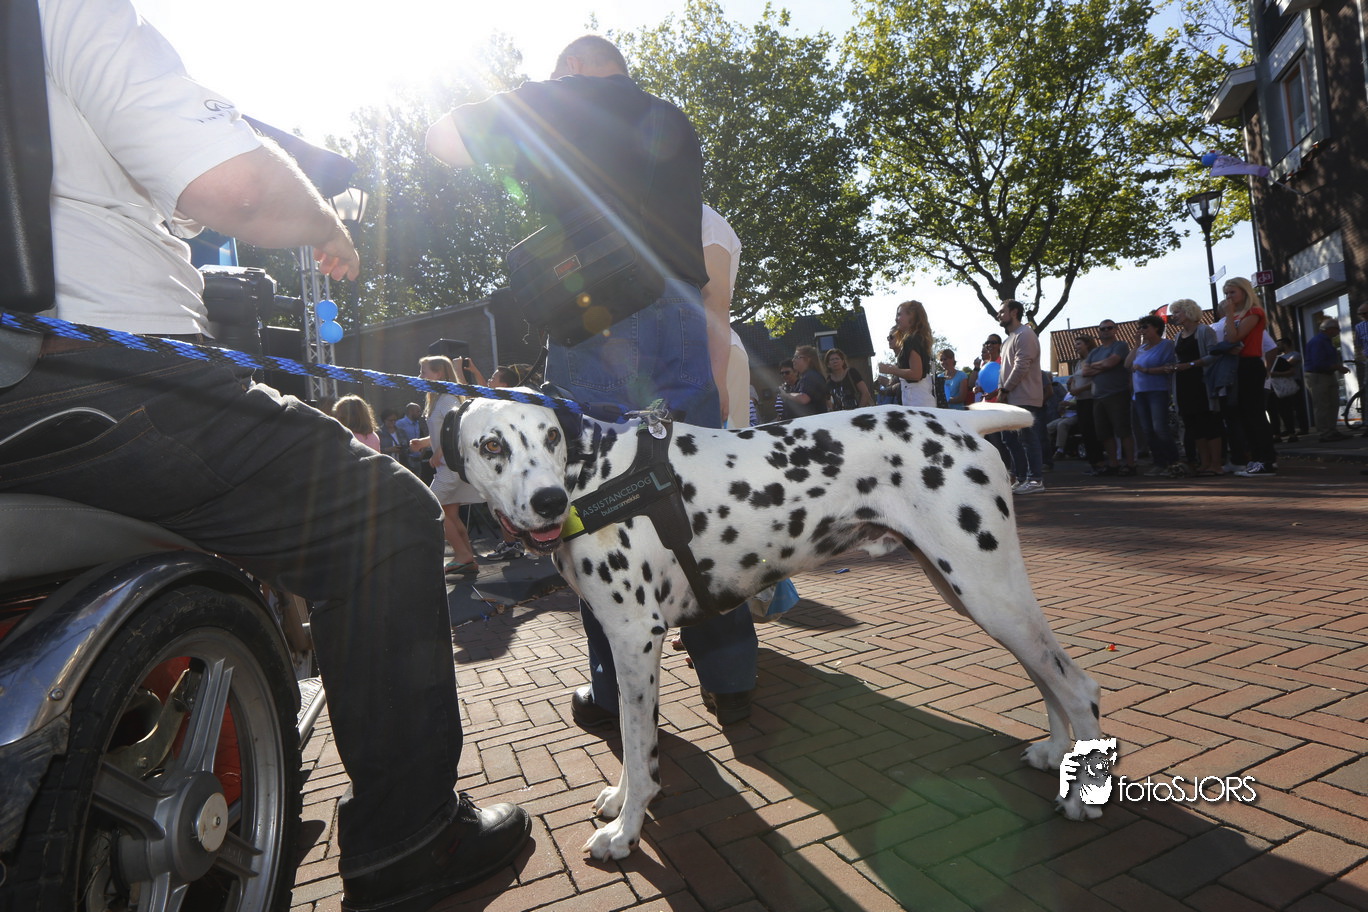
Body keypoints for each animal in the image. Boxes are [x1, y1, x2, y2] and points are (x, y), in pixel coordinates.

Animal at [448, 396, 1104, 860]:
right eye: (491, 444)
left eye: (551, 438)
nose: (549, 501)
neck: (594, 473)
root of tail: (957, 416)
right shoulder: (626, 646)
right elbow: (634, 750)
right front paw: (621, 799)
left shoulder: (636, 639)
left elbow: (639, 748)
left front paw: (628, 830)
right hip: (979, 596)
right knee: (1046, 676)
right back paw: (1055, 753)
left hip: (987, 590)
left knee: (1077, 686)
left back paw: (1081, 799)